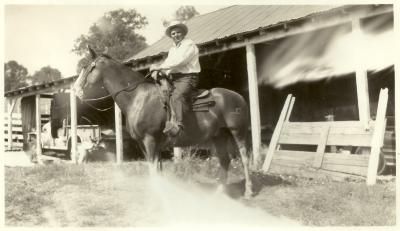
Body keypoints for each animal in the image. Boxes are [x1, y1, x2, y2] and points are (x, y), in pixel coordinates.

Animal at [73, 47, 253, 199]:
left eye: (87, 67)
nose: (76, 90)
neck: (138, 97)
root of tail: (239, 97)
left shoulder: (150, 140)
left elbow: (153, 170)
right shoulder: (144, 143)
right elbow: (155, 168)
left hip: (238, 132)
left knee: (244, 158)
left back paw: (248, 191)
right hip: (219, 135)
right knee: (224, 160)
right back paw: (220, 192)